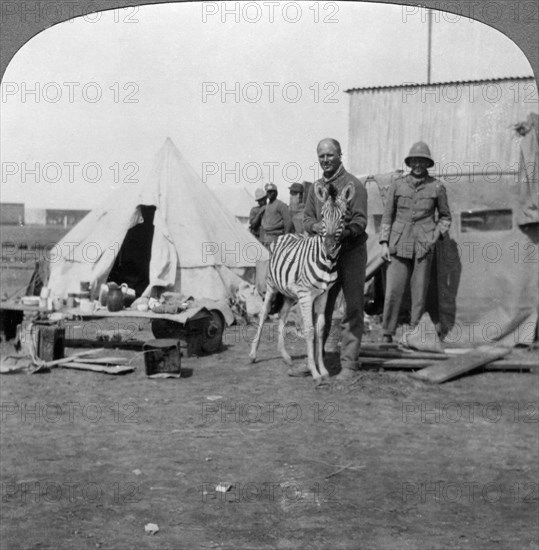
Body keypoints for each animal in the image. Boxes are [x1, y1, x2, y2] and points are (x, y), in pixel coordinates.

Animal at [249, 181, 354, 384]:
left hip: (290, 293)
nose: (329, 247)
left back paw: (285, 356)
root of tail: (288, 234)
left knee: (282, 316)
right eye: (323, 216)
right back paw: (252, 355)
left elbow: (320, 329)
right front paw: (314, 372)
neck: (327, 262)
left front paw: (323, 370)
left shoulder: (323, 295)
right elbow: (309, 329)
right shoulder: (306, 295)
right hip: (272, 286)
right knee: (263, 315)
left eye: (343, 217)